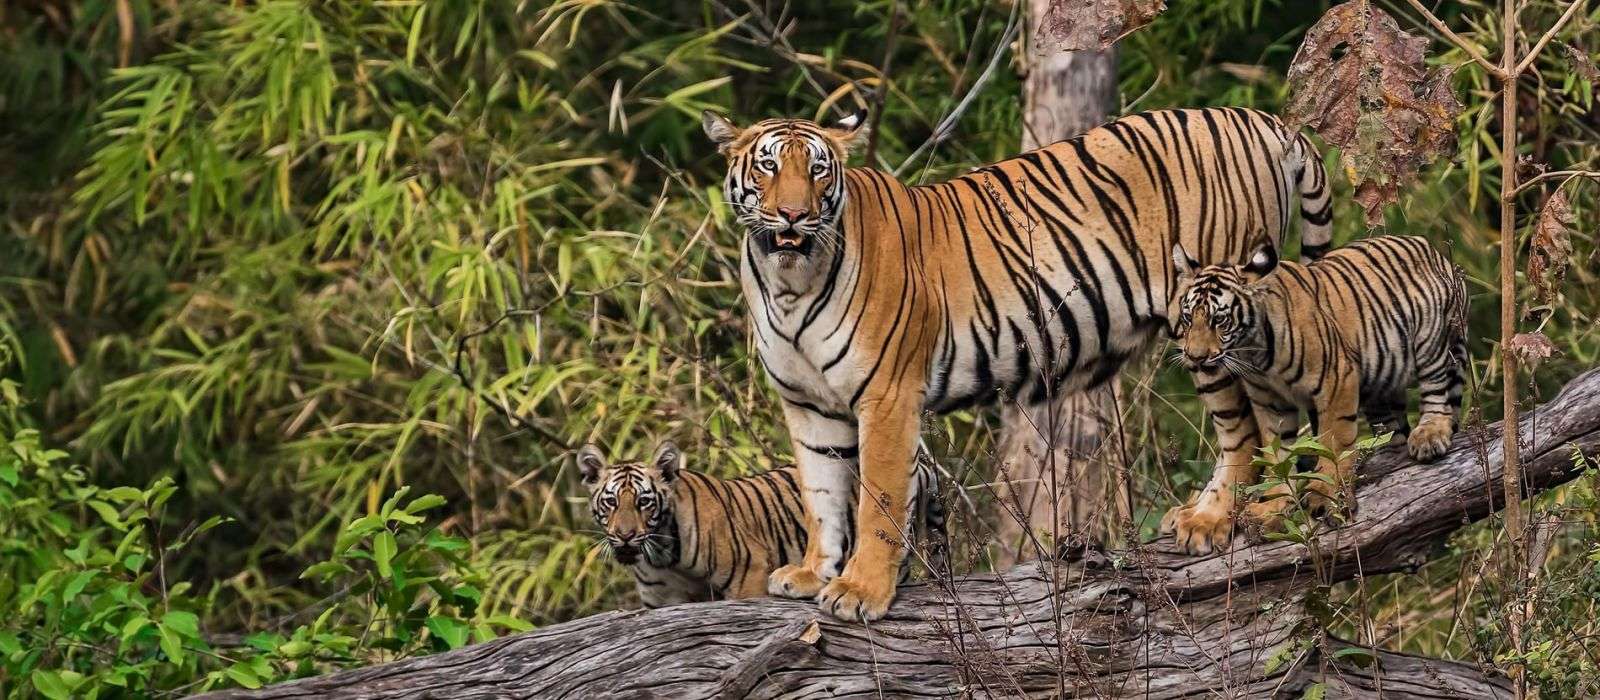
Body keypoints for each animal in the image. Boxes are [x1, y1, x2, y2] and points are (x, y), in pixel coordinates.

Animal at [577, 440, 946, 609]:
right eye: (611, 502)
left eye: (644, 502)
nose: (625, 536)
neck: (662, 557)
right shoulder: (663, 602)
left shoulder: (749, 577)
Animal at [701, 105, 1333, 619]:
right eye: (766, 167)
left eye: (818, 171)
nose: (792, 215)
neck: (790, 283)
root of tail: (1263, 120)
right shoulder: (807, 405)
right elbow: (822, 496)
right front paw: (814, 573)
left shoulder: (886, 397)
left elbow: (877, 500)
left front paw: (862, 592)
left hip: (1212, 329)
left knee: (1250, 430)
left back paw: (1220, 521)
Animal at [1161, 235, 1468, 537]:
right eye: (1188, 318)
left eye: (1219, 320)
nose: (1195, 357)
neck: (1254, 353)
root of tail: (1432, 249)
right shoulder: (1269, 401)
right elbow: (1278, 454)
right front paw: (1271, 507)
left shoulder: (1337, 379)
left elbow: (1335, 442)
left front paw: (1325, 497)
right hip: (1381, 384)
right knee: (1392, 429)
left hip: (1432, 340)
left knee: (1438, 387)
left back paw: (1430, 435)